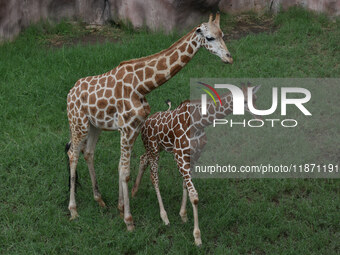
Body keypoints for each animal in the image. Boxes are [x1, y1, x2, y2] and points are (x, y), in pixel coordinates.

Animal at [65, 12, 232, 231]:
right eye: (210, 38)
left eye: (223, 34)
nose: (229, 57)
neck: (142, 85)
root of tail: (70, 93)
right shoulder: (126, 127)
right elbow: (125, 170)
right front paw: (129, 220)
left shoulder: (134, 127)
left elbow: (122, 167)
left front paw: (120, 208)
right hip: (78, 123)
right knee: (72, 154)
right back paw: (73, 211)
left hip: (95, 126)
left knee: (88, 152)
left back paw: (99, 200)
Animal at [131, 83, 262, 245]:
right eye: (244, 101)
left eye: (255, 99)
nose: (260, 118)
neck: (199, 122)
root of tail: (144, 125)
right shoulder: (179, 154)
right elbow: (194, 195)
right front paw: (197, 237)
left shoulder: (193, 155)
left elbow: (185, 185)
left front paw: (183, 215)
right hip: (153, 148)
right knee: (154, 177)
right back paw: (164, 217)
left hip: (155, 148)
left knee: (143, 158)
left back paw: (134, 192)